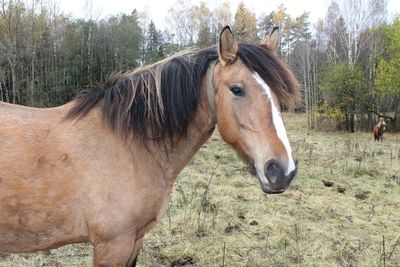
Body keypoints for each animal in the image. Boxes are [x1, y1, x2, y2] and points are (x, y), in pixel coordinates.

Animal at [0, 26, 300, 266]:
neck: (130, 145)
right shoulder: (113, 244)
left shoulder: (136, 239)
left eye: (277, 93)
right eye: (237, 89)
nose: (283, 171)